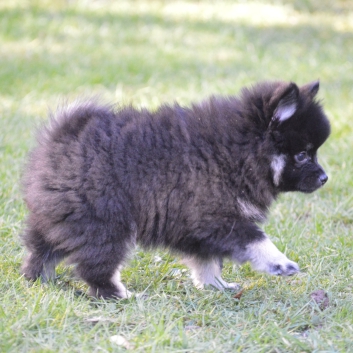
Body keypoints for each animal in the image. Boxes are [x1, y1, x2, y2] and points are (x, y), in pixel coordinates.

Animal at [21, 80, 330, 296]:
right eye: (303, 155)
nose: (325, 178)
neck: (240, 151)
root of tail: (64, 134)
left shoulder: (198, 227)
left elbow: (207, 262)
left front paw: (216, 286)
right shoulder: (216, 217)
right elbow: (257, 240)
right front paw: (281, 263)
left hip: (62, 216)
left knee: (42, 250)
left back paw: (39, 278)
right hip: (107, 222)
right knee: (96, 266)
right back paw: (119, 294)